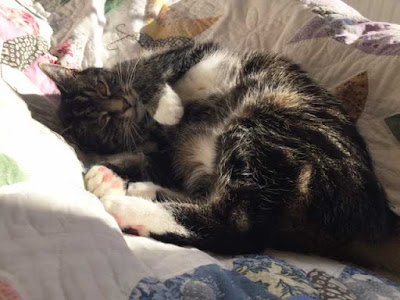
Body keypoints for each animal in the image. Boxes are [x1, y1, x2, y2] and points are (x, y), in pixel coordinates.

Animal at [39, 42, 400, 276]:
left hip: (264, 122)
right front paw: (106, 174)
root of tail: (379, 216)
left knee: (236, 227)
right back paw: (138, 194)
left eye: (103, 88)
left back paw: (128, 205)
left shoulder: (185, 53)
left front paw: (167, 105)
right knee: (229, 216)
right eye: (104, 122)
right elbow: (145, 159)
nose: (122, 106)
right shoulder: (164, 151)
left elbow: (156, 74)